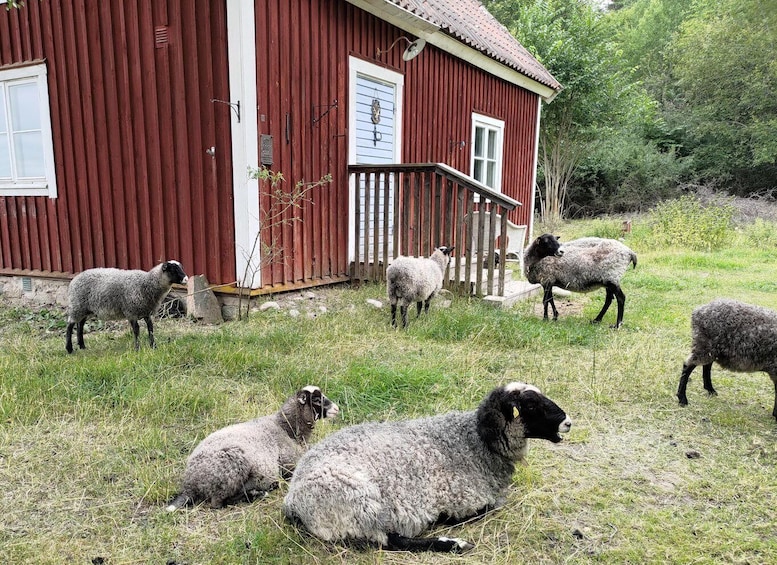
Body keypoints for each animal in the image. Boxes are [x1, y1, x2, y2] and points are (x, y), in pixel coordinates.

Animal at [166, 385, 339, 511]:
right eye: (316, 399)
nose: (337, 408)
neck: (286, 428)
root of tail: (190, 484)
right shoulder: (289, 463)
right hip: (230, 473)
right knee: (219, 503)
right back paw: (259, 493)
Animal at [282, 382, 571, 552]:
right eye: (530, 404)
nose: (568, 421)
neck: (473, 440)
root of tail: (292, 500)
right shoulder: (463, 497)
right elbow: (487, 508)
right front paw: (447, 520)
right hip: (360, 505)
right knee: (391, 540)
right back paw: (454, 543)